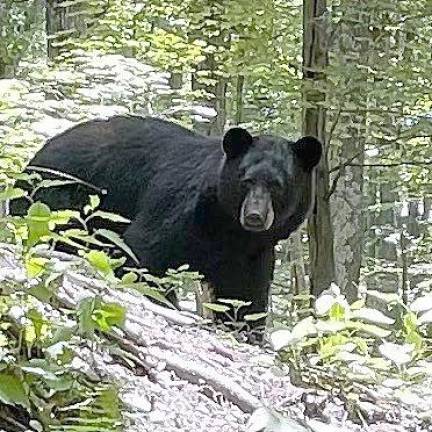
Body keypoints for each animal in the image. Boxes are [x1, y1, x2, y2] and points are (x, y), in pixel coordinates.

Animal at [10, 116, 322, 330]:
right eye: (246, 181)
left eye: (277, 185)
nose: (254, 215)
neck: (228, 229)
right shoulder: (178, 210)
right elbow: (143, 254)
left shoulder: (250, 254)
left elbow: (244, 297)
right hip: (55, 202)